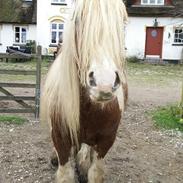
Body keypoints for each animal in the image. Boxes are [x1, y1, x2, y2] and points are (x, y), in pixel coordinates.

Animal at [40, 0, 128, 182]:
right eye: (78, 19)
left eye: (122, 22)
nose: (104, 83)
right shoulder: (60, 139)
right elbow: (65, 174)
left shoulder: (106, 141)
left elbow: (95, 172)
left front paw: (84, 168)